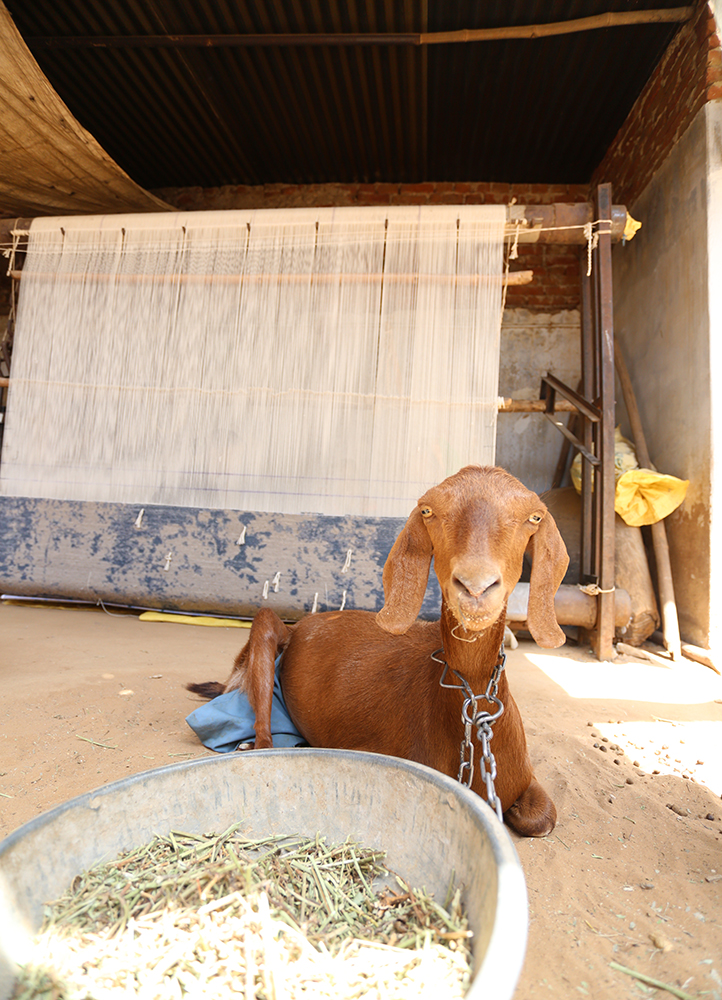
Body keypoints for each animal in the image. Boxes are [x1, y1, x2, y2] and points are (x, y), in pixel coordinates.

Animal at [187, 468, 568, 836]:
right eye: (428, 511)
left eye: (534, 517)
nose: (476, 588)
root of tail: (304, 626)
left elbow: (542, 819)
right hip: (266, 628)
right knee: (266, 734)